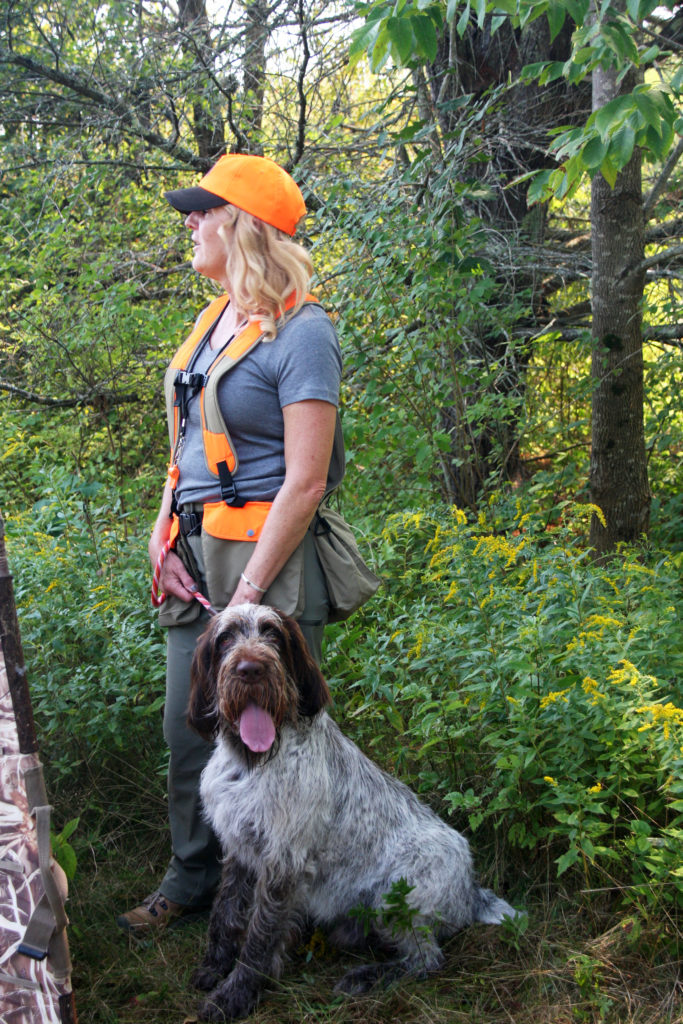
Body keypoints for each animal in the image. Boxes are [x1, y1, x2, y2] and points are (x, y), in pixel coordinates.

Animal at [188, 604, 517, 1022]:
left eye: (273, 634)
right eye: (226, 638)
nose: (250, 670)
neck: (253, 761)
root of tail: (471, 891)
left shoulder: (283, 862)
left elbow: (259, 938)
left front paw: (234, 995)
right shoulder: (240, 848)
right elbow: (225, 913)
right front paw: (214, 967)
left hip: (394, 895)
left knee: (426, 959)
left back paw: (368, 977)